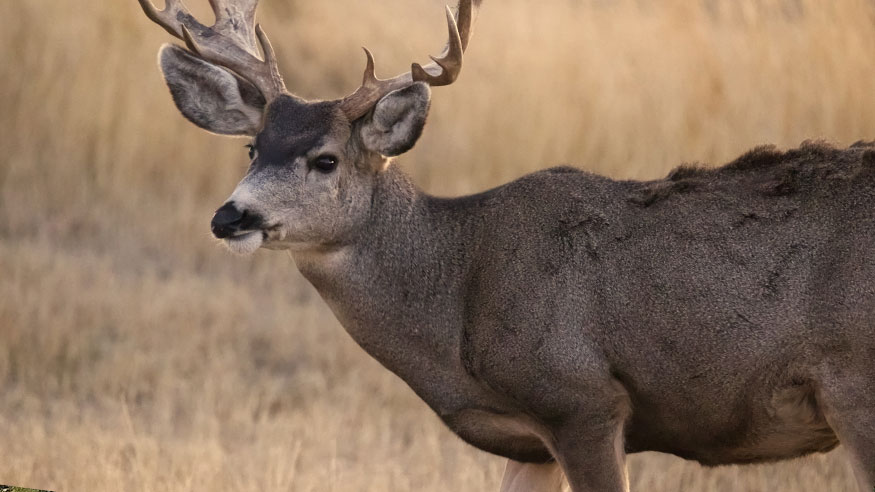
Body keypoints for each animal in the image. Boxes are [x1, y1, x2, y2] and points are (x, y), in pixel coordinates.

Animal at [133, 0, 872, 490]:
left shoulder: (583, 401)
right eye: (252, 148)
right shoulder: (529, 442)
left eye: (324, 159)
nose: (231, 216)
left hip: (855, 384)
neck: (458, 291)